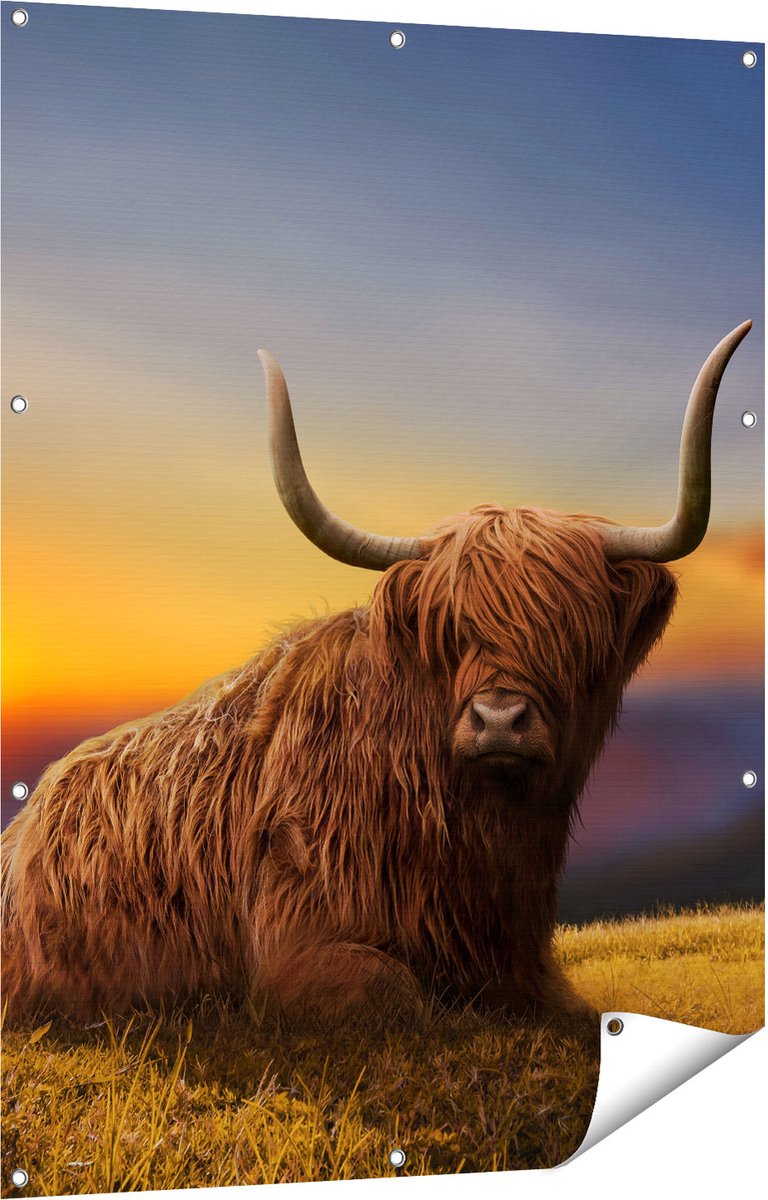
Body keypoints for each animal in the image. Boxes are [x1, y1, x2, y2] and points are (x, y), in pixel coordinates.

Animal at [1, 321, 752, 1022]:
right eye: (450, 631)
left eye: (566, 628)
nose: (498, 720)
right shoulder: (296, 948)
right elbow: (401, 994)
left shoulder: (527, 967)